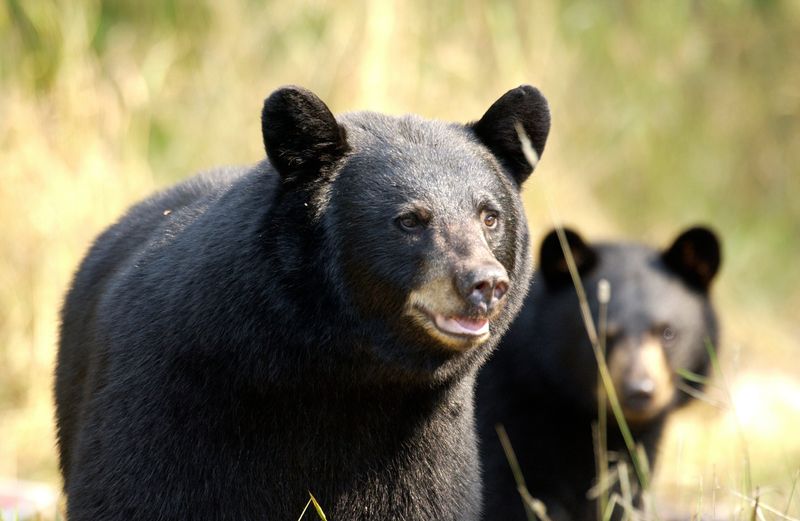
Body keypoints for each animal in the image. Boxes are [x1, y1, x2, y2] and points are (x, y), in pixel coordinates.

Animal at [55, 85, 551, 520]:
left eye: (489, 216)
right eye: (410, 220)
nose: (485, 283)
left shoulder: (424, 446)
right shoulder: (169, 398)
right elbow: (138, 491)